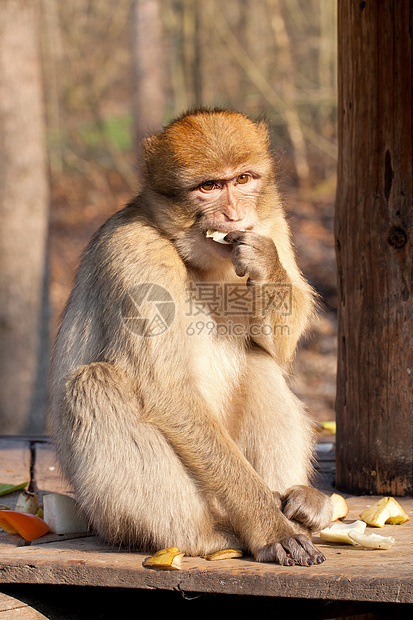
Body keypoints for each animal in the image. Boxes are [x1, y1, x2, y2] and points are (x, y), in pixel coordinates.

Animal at [50, 108, 332, 568]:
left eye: (243, 179)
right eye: (209, 187)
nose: (234, 216)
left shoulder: (272, 222)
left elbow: (279, 350)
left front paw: (264, 262)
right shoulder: (136, 252)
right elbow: (166, 390)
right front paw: (269, 527)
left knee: (259, 361)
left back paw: (298, 503)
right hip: (123, 513)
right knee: (94, 382)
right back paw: (204, 536)